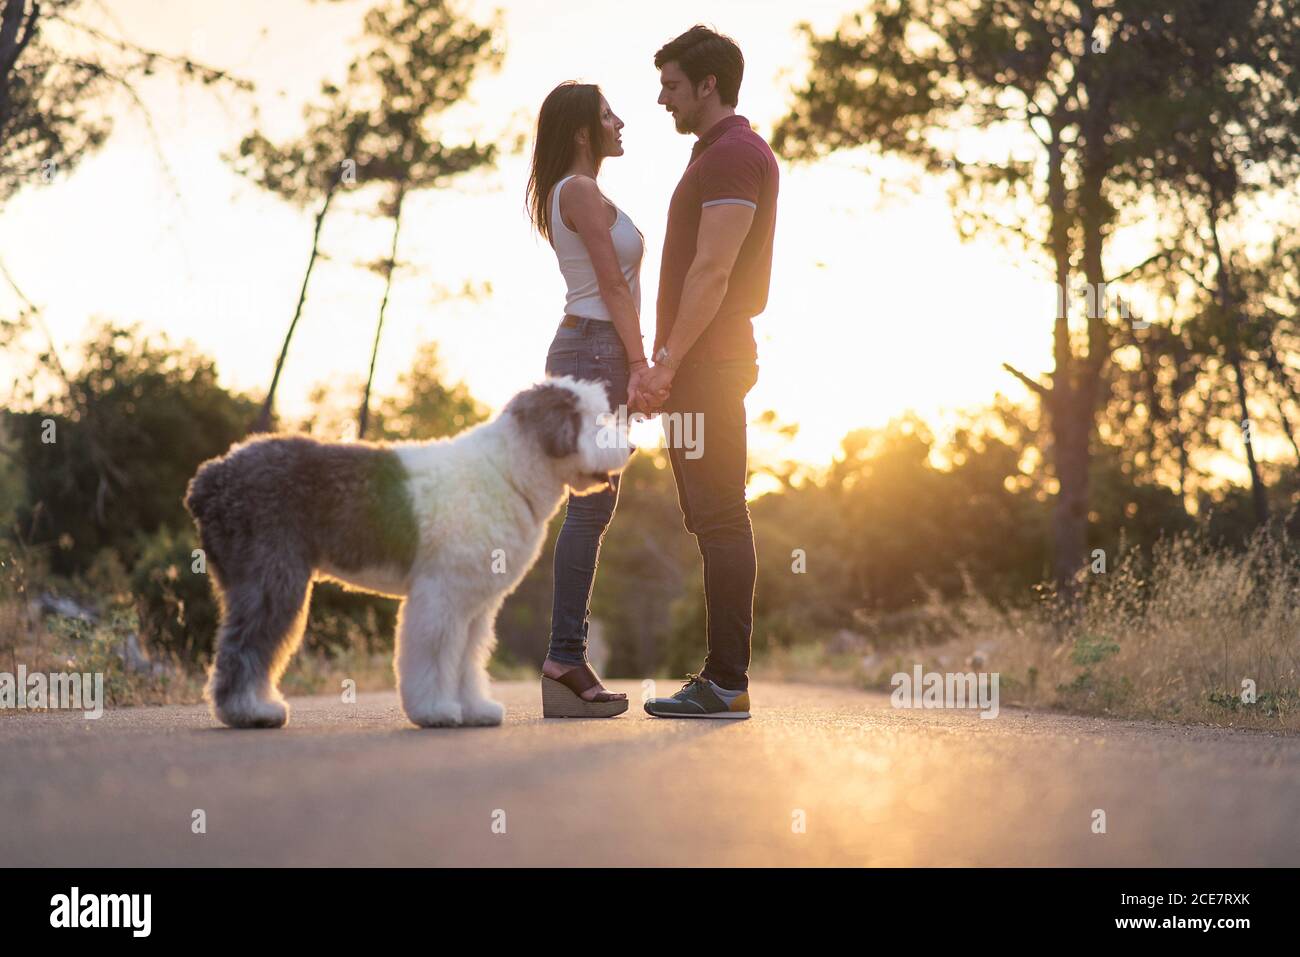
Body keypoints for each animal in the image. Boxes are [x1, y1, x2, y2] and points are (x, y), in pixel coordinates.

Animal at [182, 377, 629, 728]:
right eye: (596, 420)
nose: (632, 450)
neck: (506, 472)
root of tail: (211, 477)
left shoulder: (474, 604)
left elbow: (467, 658)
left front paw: (475, 709)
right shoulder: (441, 595)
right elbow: (435, 654)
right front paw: (436, 711)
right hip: (271, 578)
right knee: (245, 644)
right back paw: (250, 711)